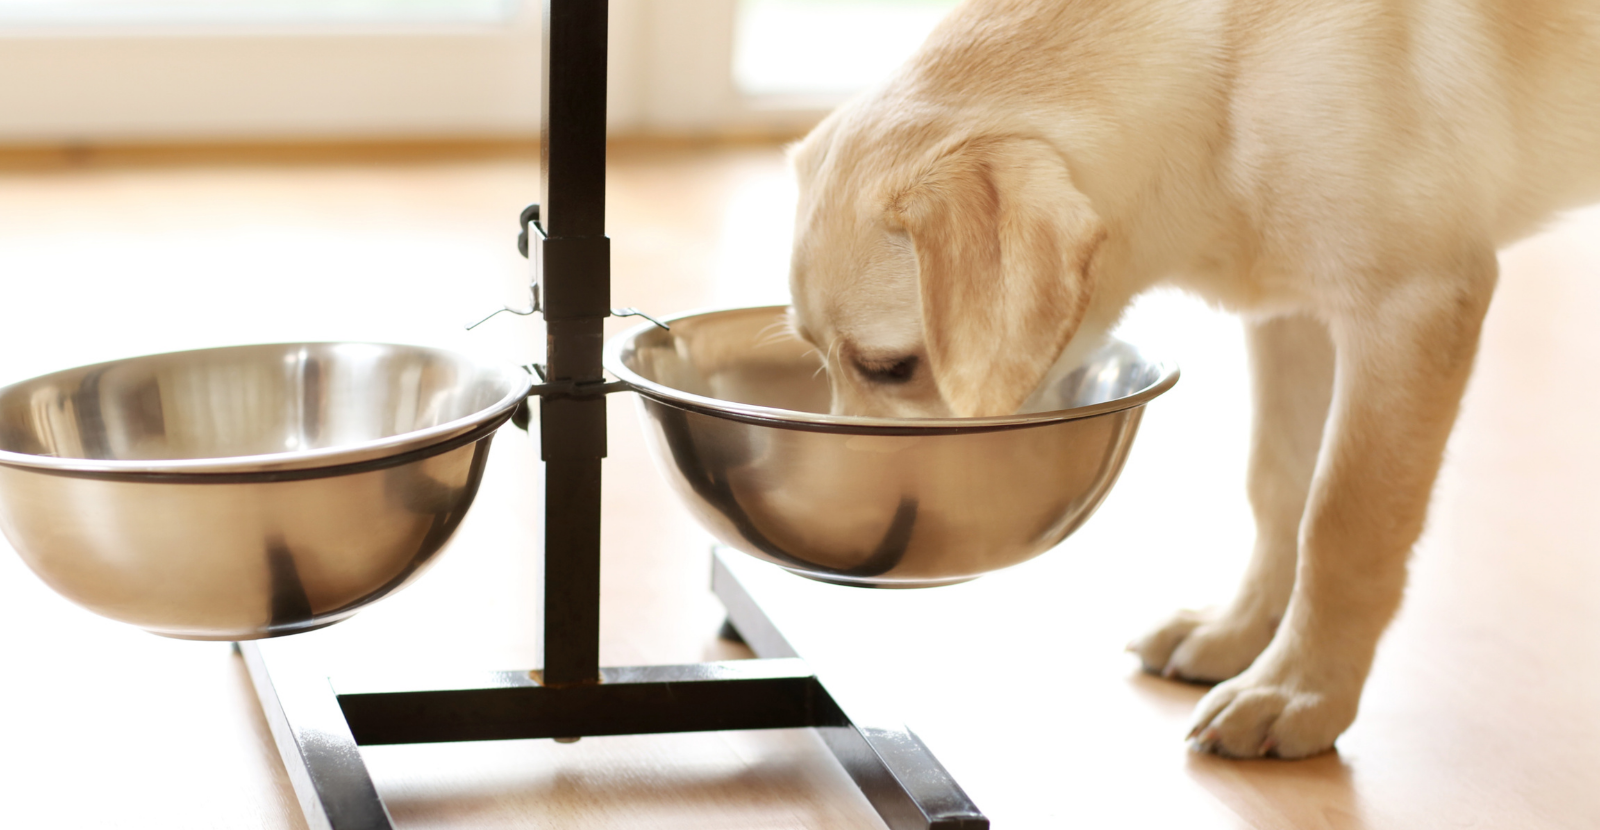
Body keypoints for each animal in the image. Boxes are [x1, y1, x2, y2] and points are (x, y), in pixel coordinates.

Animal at [787, 0, 1600, 764]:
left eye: (890, 368)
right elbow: (1280, 489)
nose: (840, 531)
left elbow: (1342, 521)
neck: (1228, 79)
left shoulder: (1411, 306)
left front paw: (1300, 689)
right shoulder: (1292, 313)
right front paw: (1242, 632)